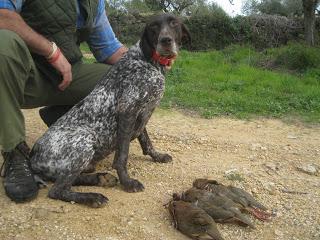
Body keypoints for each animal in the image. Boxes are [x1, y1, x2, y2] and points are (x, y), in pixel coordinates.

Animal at [30, 14, 190, 207]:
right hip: (85, 141)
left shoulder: (142, 112)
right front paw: (127, 182)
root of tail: (33, 157)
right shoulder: (128, 110)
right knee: (58, 190)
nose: (166, 40)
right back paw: (92, 197)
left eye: (174, 23)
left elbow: (146, 141)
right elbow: (122, 156)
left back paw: (100, 179)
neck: (148, 62)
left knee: (69, 181)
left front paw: (156, 156)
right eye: (153, 26)